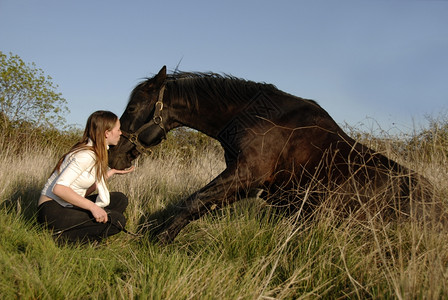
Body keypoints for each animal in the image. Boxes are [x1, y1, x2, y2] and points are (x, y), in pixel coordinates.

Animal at [109, 66, 440, 244]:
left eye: (134, 107)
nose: (113, 157)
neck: (254, 115)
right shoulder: (244, 185)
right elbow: (200, 205)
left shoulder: (246, 175)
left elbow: (193, 202)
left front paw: (159, 240)